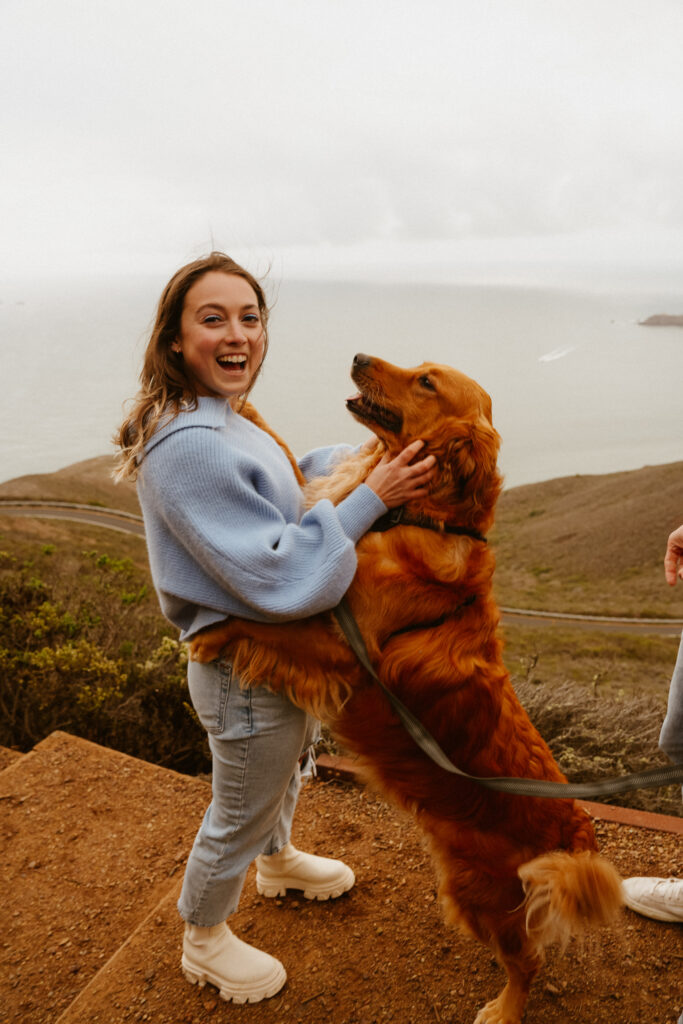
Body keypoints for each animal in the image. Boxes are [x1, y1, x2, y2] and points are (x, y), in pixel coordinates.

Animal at [189, 354, 622, 1024]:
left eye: (426, 382)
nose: (359, 357)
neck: (415, 514)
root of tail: (576, 830)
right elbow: (289, 460)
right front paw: (246, 409)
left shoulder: (343, 646)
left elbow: (262, 622)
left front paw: (208, 632)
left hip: (476, 888)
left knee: (527, 961)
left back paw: (504, 1007)